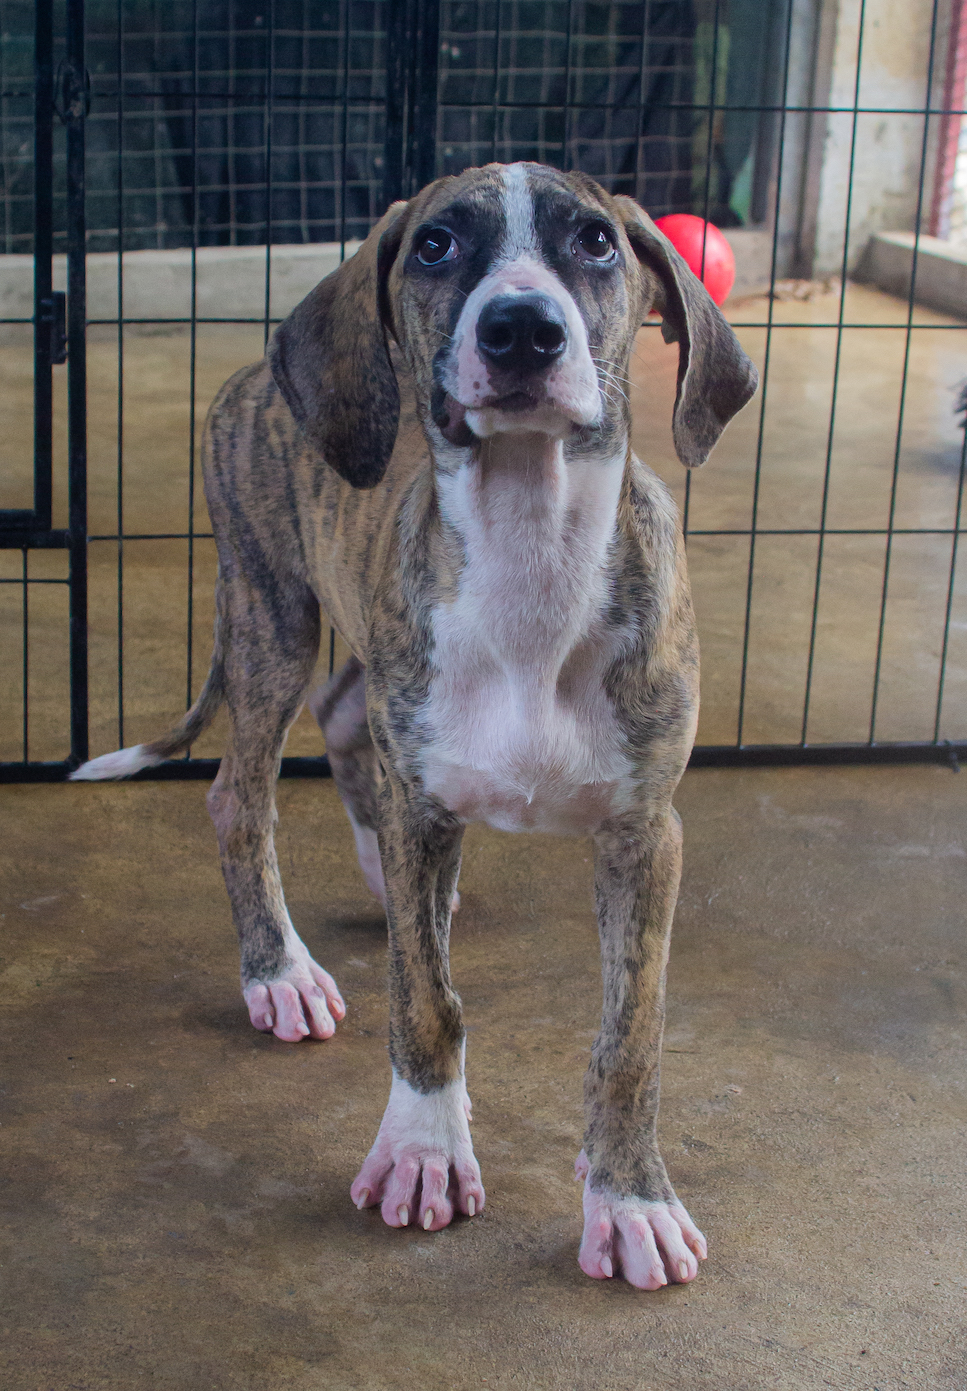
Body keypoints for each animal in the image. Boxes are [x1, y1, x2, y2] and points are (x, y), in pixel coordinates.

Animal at [73, 159, 756, 1279]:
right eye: (436, 243)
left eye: (595, 240)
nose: (521, 330)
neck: (531, 549)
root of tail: (254, 372)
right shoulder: (431, 811)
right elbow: (426, 1001)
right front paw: (424, 1149)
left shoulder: (644, 831)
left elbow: (630, 1034)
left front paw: (628, 1196)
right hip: (271, 611)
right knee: (241, 795)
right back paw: (280, 971)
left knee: (350, 722)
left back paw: (376, 876)